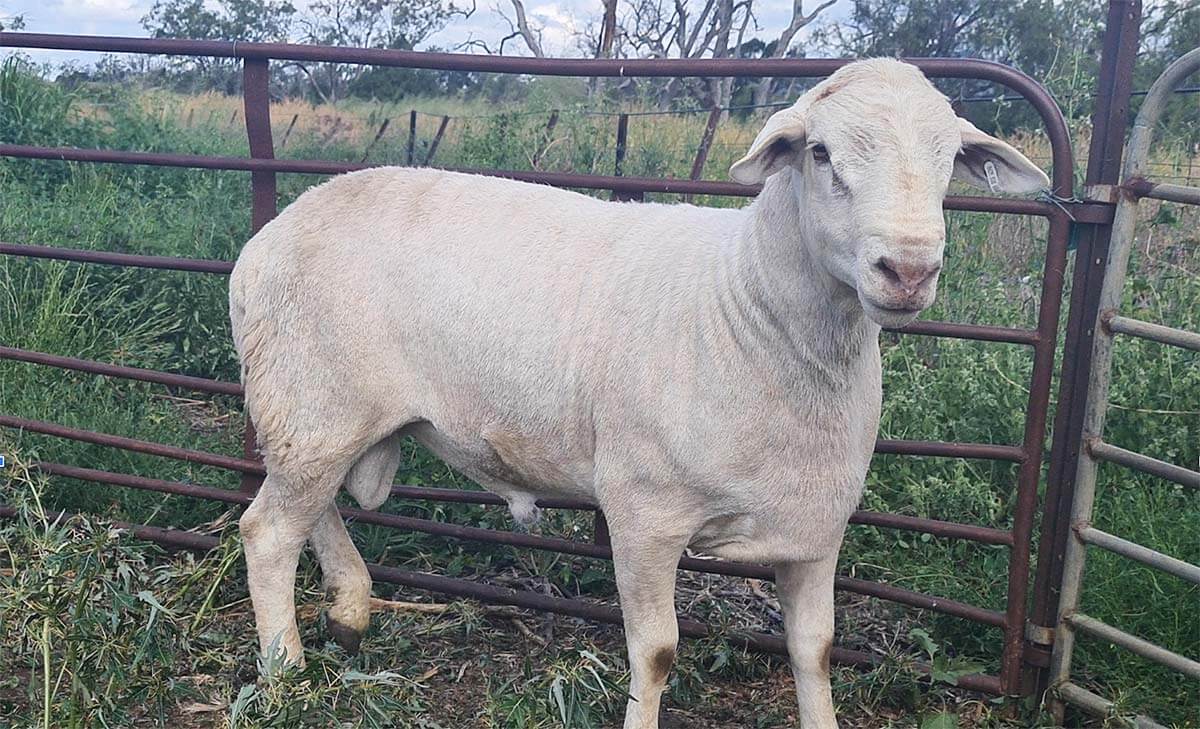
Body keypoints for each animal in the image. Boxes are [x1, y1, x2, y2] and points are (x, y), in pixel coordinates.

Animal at [226, 58, 1051, 729]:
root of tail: (267, 236)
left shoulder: (816, 526)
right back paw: (284, 669)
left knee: (312, 508)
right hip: (312, 399)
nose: (907, 269)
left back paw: (350, 610)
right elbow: (656, 652)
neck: (747, 304)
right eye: (820, 153)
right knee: (269, 530)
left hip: (322, 412)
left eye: (950, 159)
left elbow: (815, 650)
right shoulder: (646, 512)